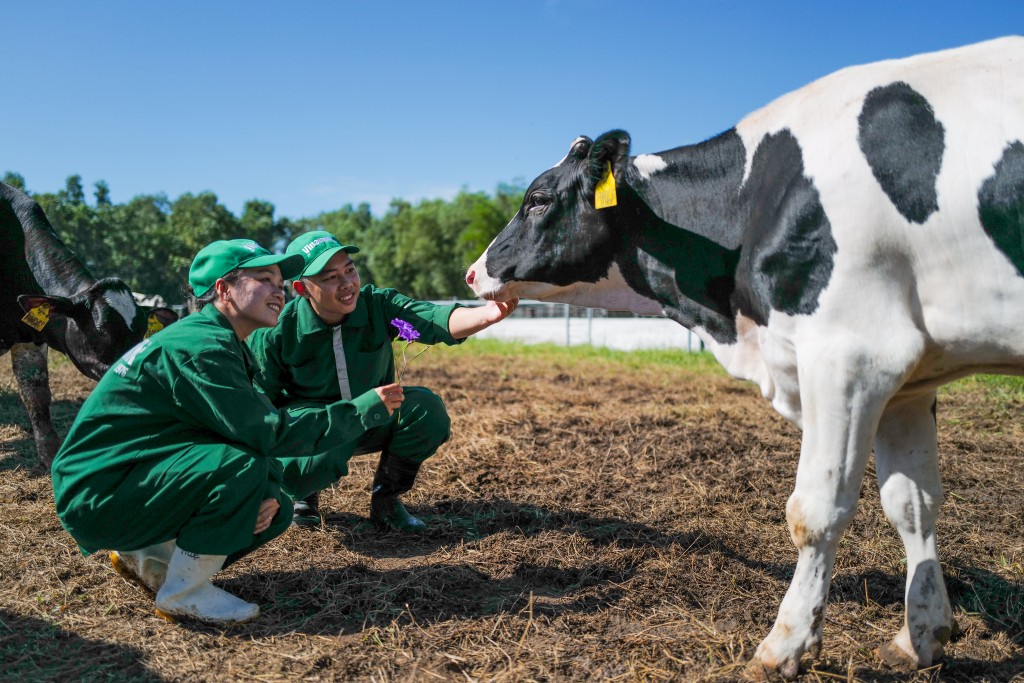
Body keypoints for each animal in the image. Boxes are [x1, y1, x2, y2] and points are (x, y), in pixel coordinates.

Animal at [466, 36, 1024, 679]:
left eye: (537, 199)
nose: (473, 272)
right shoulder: (909, 384)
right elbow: (913, 503)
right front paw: (921, 636)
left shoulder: (852, 352)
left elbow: (816, 510)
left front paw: (784, 647)